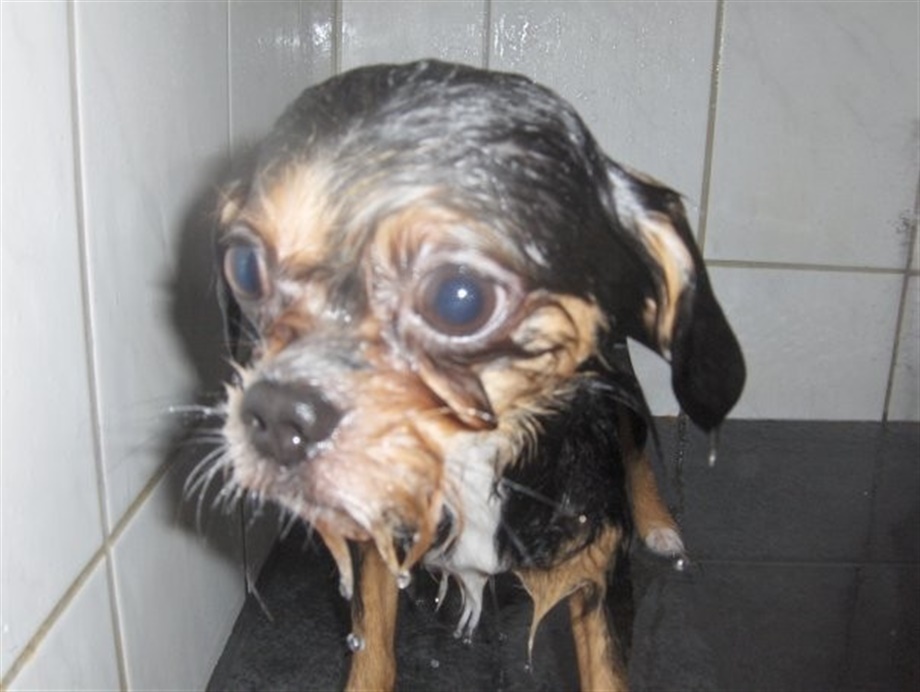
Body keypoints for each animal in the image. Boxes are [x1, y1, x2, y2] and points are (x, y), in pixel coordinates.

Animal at [209, 60, 745, 691]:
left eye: (459, 297)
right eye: (246, 267)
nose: (274, 418)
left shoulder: (599, 585)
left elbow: (606, 671)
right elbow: (372, 652)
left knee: (634, 445)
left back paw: (657, 522)